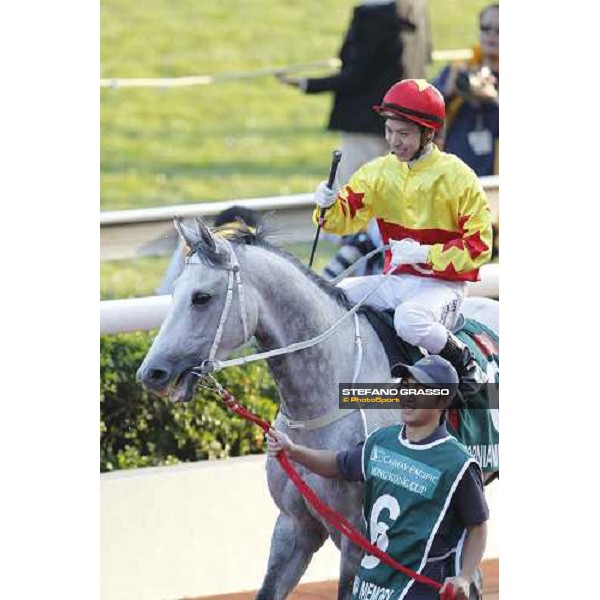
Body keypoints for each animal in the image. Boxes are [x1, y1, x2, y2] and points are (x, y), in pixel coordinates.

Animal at [138, 220, 500, 600]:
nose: (152, 373)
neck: (322, 400)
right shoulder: (294, 524)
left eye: (201, 297)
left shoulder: (358, 537)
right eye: (175, 291)